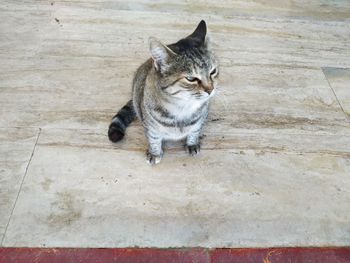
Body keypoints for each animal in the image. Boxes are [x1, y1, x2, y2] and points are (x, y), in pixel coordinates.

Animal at [108, 20, 219, 165]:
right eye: (191, 79)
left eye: (213, 71)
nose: (210, 89)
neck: (182, 108)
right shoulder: (151, 127)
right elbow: (154, 138)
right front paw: (155, 152)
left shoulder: (199, 120)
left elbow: (194, 131)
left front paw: (192, 143)